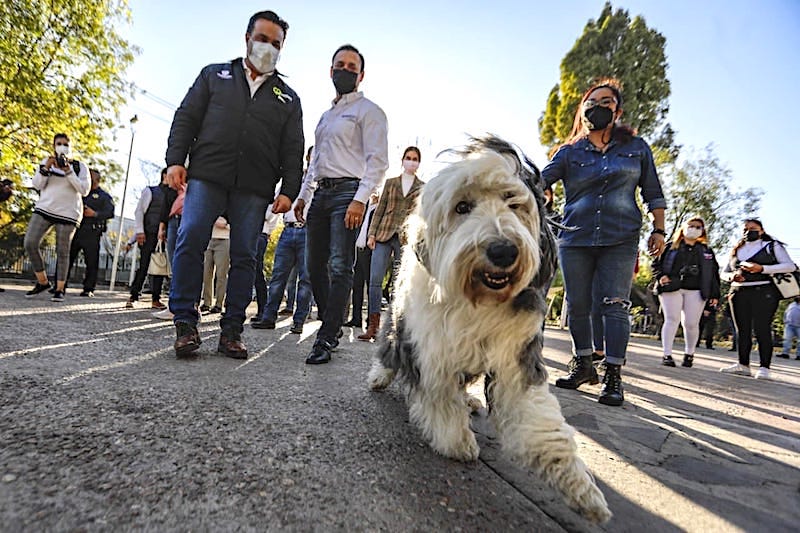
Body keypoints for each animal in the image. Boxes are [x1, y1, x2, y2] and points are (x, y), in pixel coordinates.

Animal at [368, 135, 612, 520]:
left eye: (513, 202)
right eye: (463, 206)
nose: (502, 250)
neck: (480, 298)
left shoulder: (517, 354)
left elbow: (538, 421)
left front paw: (579, 487)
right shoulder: (434, 346)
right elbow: (439, 396)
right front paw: (455, 441)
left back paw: (469, 399)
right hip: (398, 319)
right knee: (389, 346)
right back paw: (380, 376)